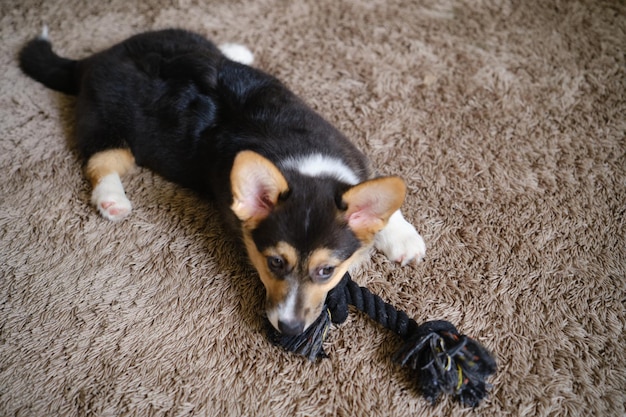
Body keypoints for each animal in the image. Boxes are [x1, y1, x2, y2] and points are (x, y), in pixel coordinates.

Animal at [18, 28, 424, 334]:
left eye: (326, 271)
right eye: (275, 263)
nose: (290, 329)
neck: (300, 163)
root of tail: (92, 60)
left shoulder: (353, 159)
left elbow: (387, 207)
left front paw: (404, 240)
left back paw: (234, 50)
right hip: (106, 126)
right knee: (100, 161)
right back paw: (111, 200)